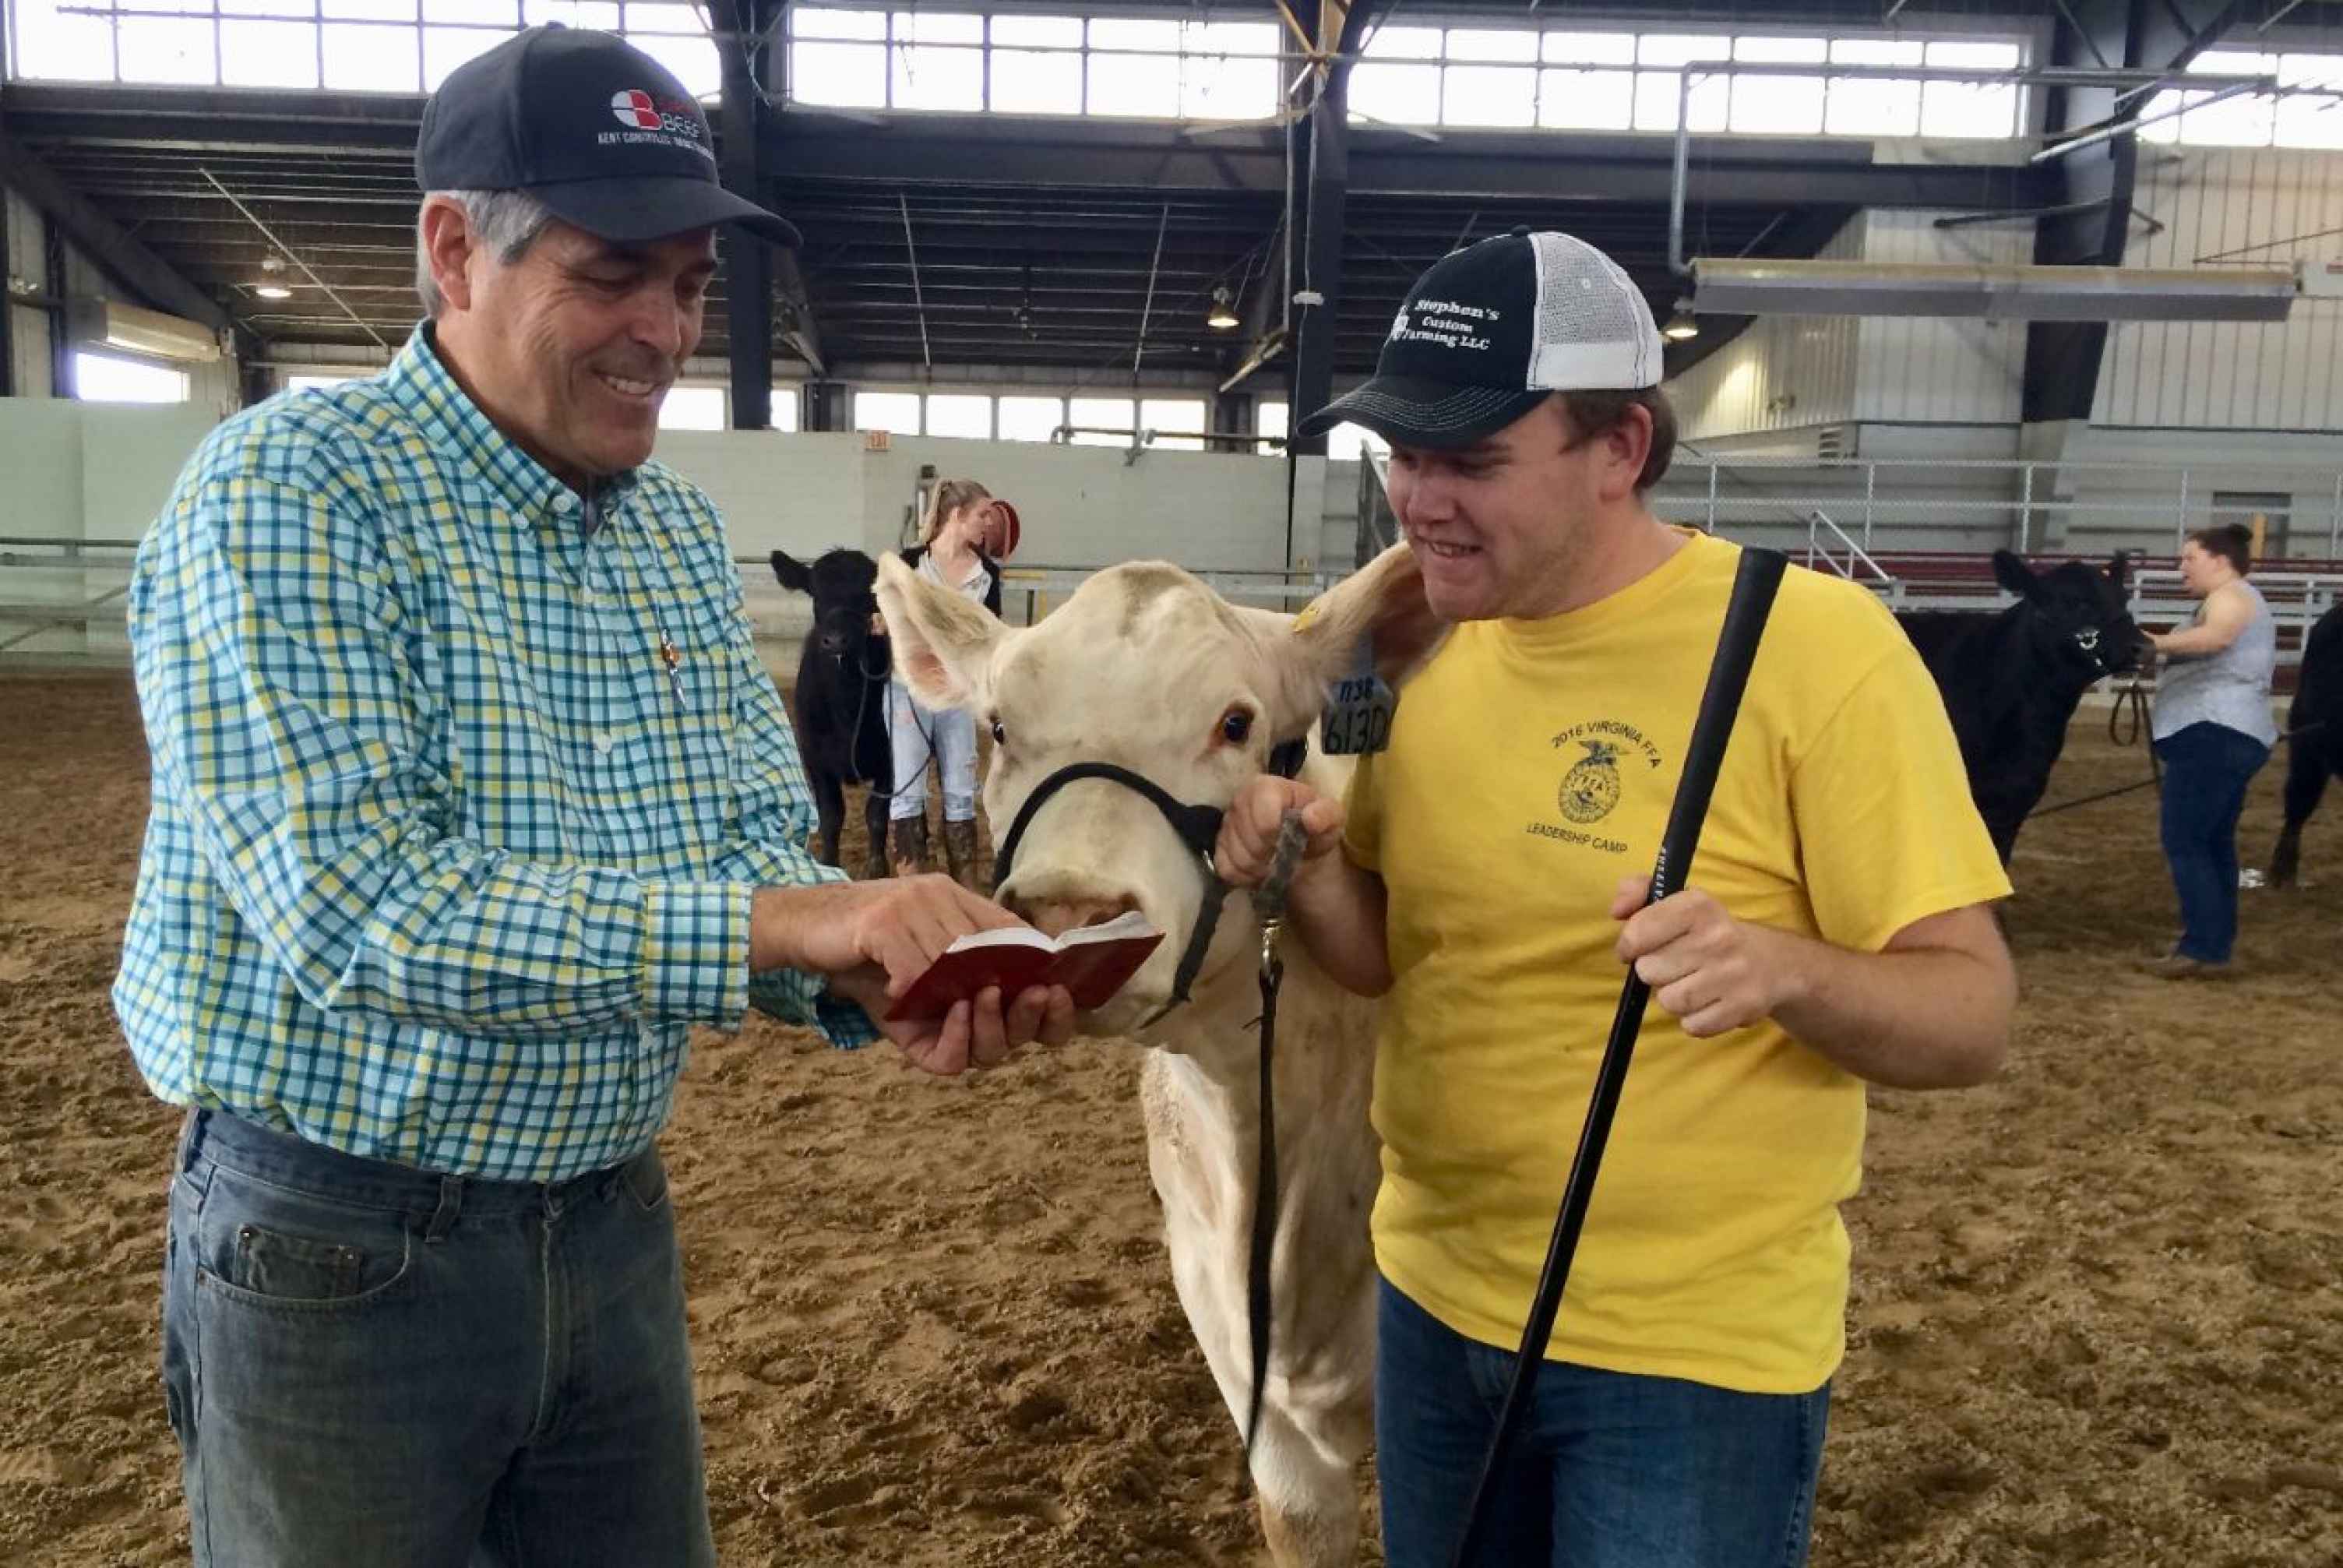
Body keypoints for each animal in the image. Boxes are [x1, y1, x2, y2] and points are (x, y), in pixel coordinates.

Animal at [782, 548, 900, 881]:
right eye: (815, 595)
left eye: (867, 596)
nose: (835, 641)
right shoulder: (815, 758)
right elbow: (832, 816)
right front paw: (829, 864)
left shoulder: (891, 759)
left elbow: (876, 815)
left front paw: (877, 870)